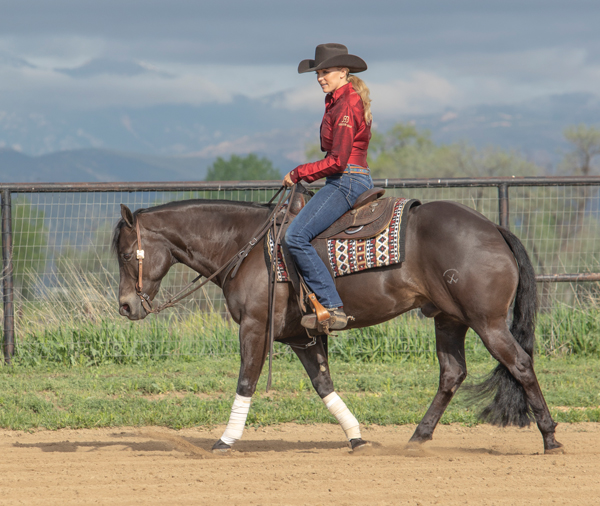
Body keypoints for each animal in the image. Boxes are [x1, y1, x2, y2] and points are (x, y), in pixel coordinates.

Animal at [113, 195, 564, 454]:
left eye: (126, 253)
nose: (126, 306)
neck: (246, 245)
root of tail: (494, 229)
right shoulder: (302, 337)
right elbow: (323, 384)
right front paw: (356, 437)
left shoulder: (254, 327)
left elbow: (246, 381)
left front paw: (225, 440)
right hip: (449, 321)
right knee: (452, 374)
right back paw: (418, 438)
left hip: (488, 323)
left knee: (520, 365)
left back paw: (550, 438)